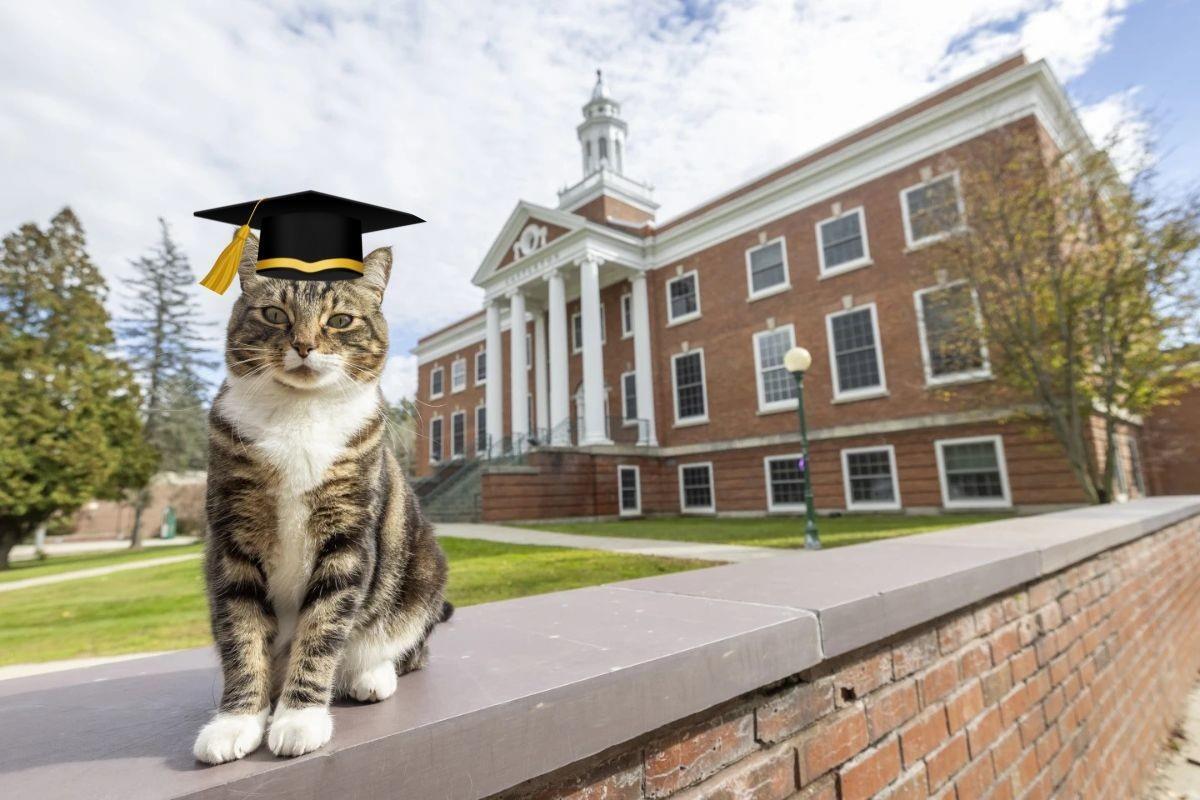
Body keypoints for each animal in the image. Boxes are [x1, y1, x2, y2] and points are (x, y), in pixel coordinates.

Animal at [192, 236, 451, 762]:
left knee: (408, 648)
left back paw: (370, 674)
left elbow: (323, 627)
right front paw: (236, 721)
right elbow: (241, 633)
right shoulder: (232, 538)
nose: (304, 345)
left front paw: (299, 717)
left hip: (424, 570)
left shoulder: (348, 537)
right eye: (274, 313)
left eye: (341, 320)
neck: (299, 414)